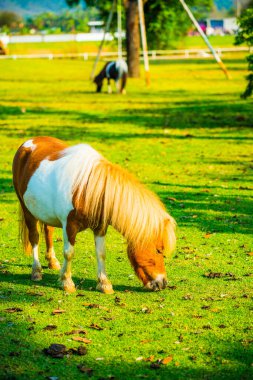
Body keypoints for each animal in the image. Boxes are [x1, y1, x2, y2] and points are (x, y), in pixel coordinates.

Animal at [12, 137, 176, 294]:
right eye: (158, 250)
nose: (163, 283)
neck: (86, 189)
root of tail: (28, 143)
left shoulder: (100, 227)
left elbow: (101, 253)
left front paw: (104, 284)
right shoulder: (69, 225)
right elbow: (69, 253)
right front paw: (67, 283)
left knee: (48, 230)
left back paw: (52, 261)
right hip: (27, 210)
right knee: (34, 237)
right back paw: (36, 271)